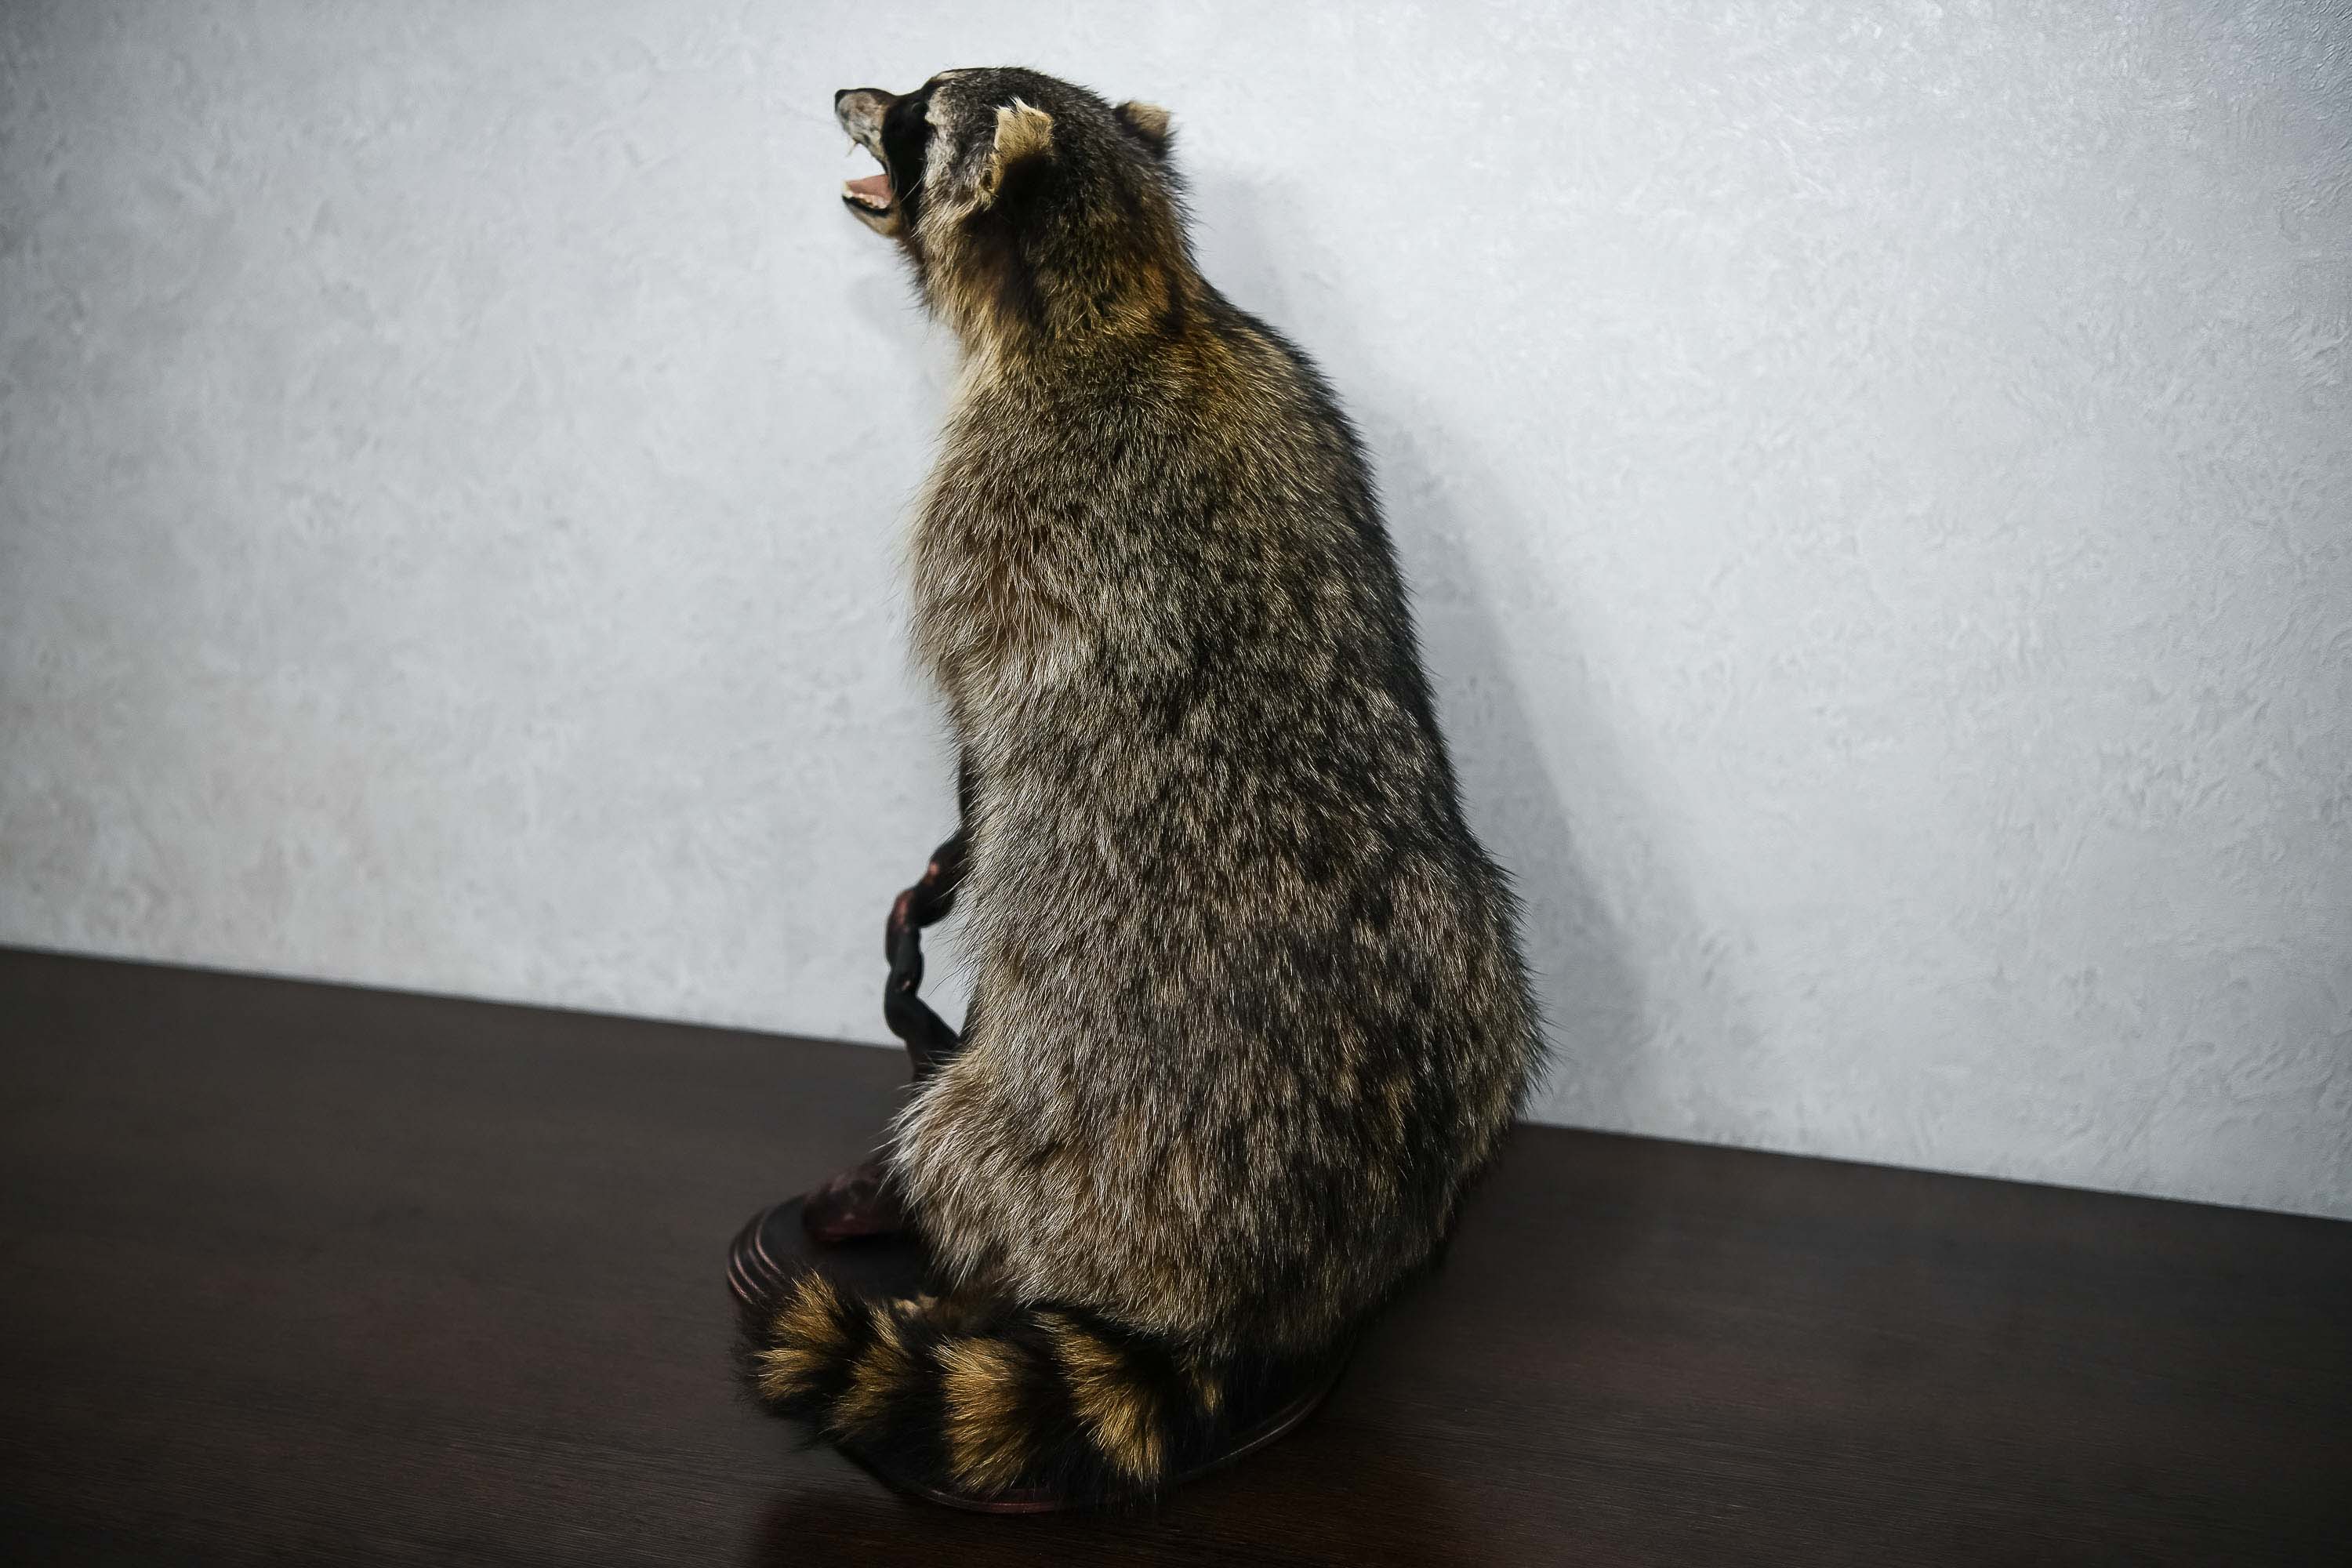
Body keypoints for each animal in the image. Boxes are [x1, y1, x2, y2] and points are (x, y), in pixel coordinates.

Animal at [754, 67, 1544, 1504]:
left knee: (967, 1135)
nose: (848, 90)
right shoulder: (1302, 395)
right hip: (1476, 1003)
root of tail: (1281, 1286)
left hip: (1066, 1107)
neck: (1137, 298)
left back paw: (963, 1260)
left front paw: (959, 835)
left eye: (917, 112)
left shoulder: (985, 507)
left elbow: (979, 706)